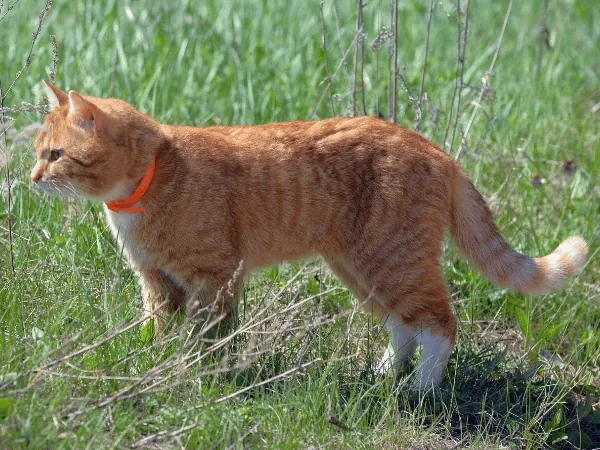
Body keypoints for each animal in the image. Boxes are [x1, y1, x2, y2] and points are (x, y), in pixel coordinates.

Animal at [31, 81, 584, 390]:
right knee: (404, 325)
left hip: (391, 259)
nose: (32, 178)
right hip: (362, 267)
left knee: (441, 324)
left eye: (55, 155)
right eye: (39, 152)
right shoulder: (157, 283)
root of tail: (435, 148)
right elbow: (158, 331)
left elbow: (207, 337)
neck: (151, 177)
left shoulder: (214, 278)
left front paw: (196, 374)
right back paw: (384, 376)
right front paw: (154, 364)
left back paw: (421, 390)